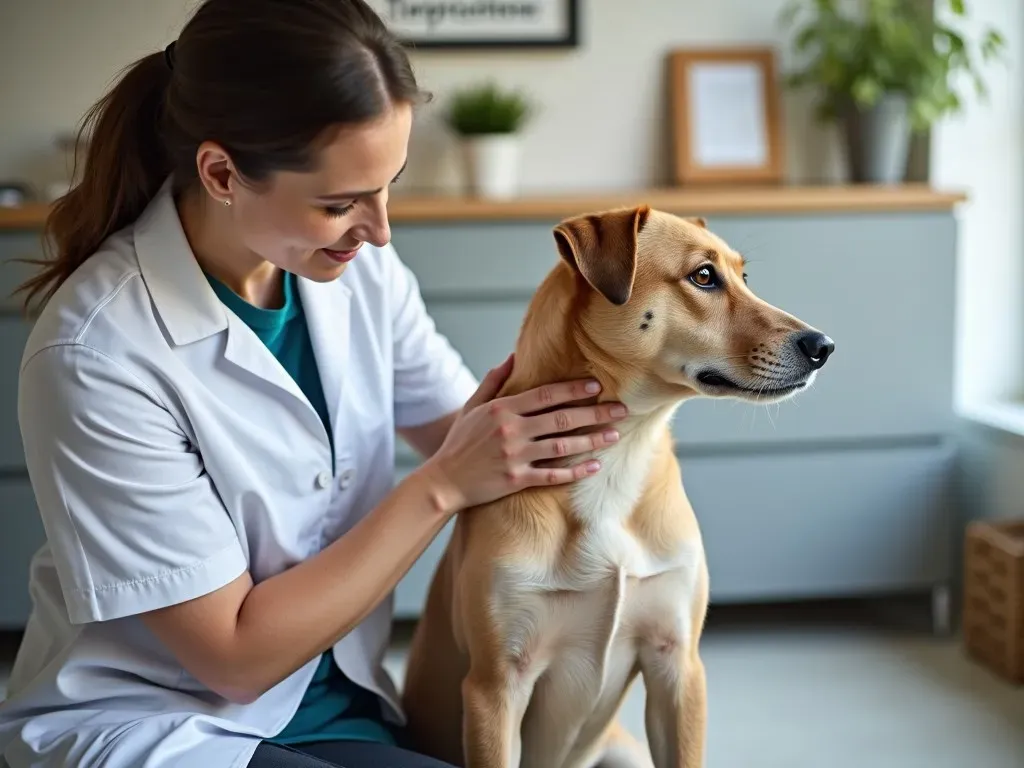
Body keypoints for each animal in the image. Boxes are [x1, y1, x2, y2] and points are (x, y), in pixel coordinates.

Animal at [399, 205, 831, 768]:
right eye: (704, 276)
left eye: (743, 276)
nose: (823, 346)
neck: (620, 454)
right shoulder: (495, 687)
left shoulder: (677, 666)